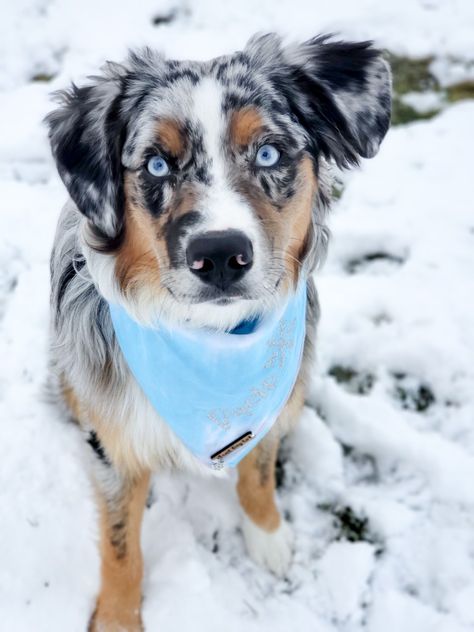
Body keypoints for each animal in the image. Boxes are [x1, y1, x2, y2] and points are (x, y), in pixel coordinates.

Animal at [46, 34, 390, 632]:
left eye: (269, 153)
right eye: (157, 164)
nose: (221, 255)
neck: (212, 340)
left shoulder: (271, 407)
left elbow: (258, 473)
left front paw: (268, 537)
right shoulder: (116, 442)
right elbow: (120, 543)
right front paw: (117, 617)